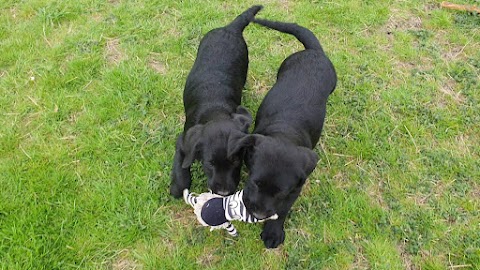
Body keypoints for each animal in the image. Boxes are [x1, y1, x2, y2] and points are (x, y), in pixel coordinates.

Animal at [170, 5, 262, 197]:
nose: (224, 193)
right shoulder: (183, 142)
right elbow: (181, 170)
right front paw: (176, 188)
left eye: (236, 161)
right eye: (209, 164)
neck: (215, 111)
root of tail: (230, 28)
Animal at [230, 19, 338, 248]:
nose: (259, 214)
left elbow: (282, 210)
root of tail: (314, 51)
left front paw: (272, 232)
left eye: (281, 192)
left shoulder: (296, 188)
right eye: (255, 182)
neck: (284, 133)